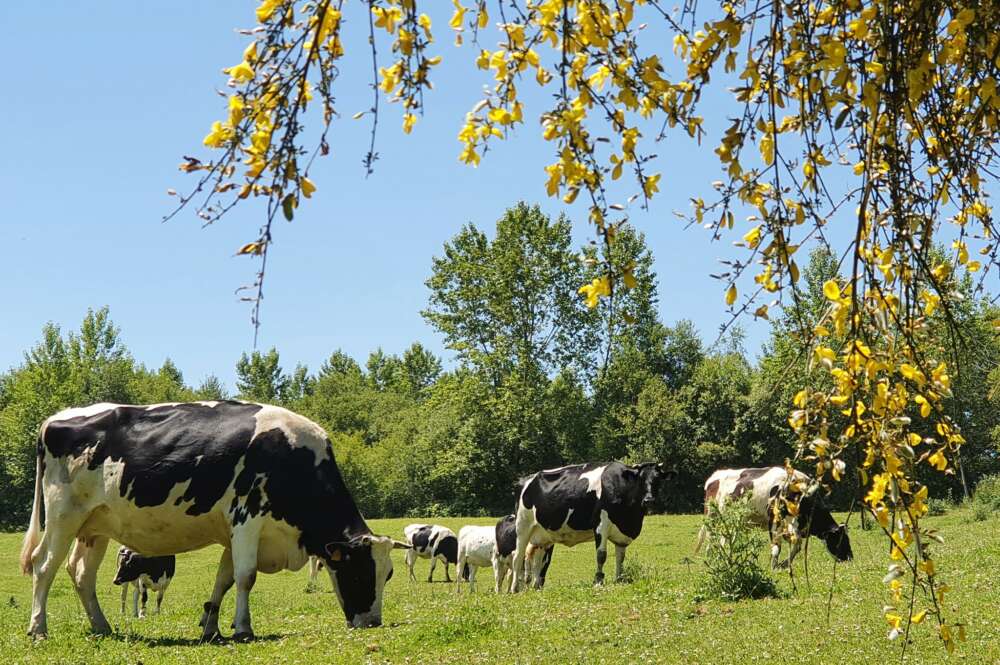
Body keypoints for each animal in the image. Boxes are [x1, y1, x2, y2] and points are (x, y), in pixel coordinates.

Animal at [17, 400, 406, 640]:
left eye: (388, 573)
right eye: (359, 571)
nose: (372, 622)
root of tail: (55, 418)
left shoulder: (234, 530)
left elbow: (224, 579)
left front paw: (210, 626)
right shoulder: (248, 517)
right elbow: (246, 577)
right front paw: (243, 629)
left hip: (95, 525)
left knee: (81, 572)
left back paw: (102, 626)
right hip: (63, 515)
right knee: (44, 565)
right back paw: (38, 628)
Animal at [512, 462, 668, 592]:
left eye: (658, 479)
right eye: (641, 479)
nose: (649, 500)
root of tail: (526, 479)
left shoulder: (621, 534)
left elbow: (621, 557)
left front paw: (619, 579)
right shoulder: (601, 523)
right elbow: (601, 555)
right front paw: (598, 581)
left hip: (544, 535)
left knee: (539, 561)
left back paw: (537, 587)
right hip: (523, 526)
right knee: (518, 557)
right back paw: (514, 589)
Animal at [696, 464, 852, 568]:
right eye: (840, 540)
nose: (850, 558)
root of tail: (716, 475)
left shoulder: (793, 525)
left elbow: (797, 545)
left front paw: (784, 564)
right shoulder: (775, 521)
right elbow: (777, 546)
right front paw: (774, 565)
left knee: (725, 539)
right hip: (712, 516)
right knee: (711, 537)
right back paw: (711, 559)